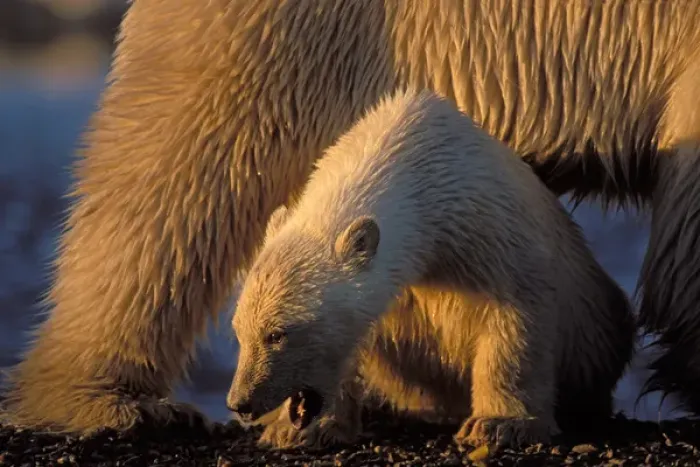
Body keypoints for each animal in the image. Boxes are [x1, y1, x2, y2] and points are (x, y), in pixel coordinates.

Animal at [225, 89, 636, 450]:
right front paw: (296, 430)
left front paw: (498, 425)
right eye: (239, 331)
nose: (240, 403)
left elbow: (516, 315)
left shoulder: (489, 232)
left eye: (277, 334)